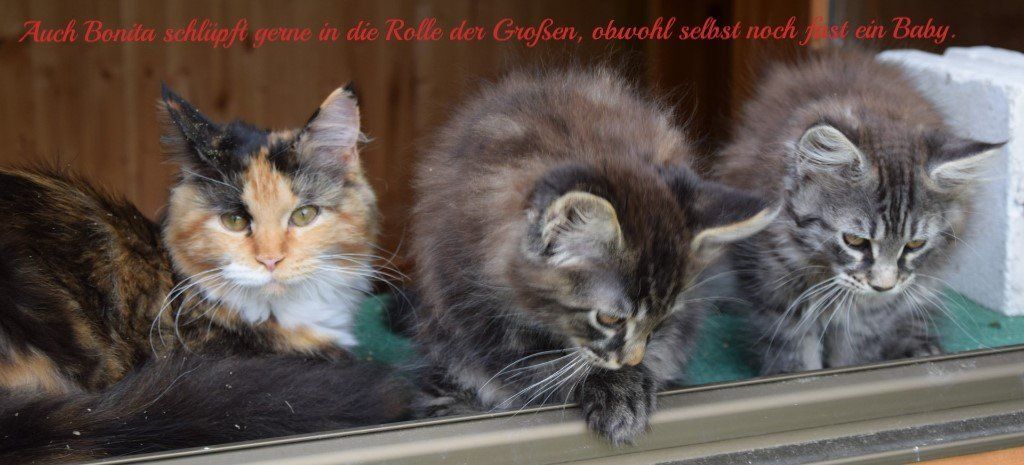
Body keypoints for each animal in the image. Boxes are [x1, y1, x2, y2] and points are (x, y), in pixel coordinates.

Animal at [407, 68, 776, 444]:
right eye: (610, 319)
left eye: (663, 316)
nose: (632, 361)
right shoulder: (477, 317)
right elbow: (540, 368)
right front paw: (616, 389)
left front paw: (631, 379)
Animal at [716, 49, 1003, 375]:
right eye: (855, 241)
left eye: (915, 244)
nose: (883, 285)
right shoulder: (777, 293)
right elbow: (798, 358)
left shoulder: (873, 312)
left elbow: (853, 355)